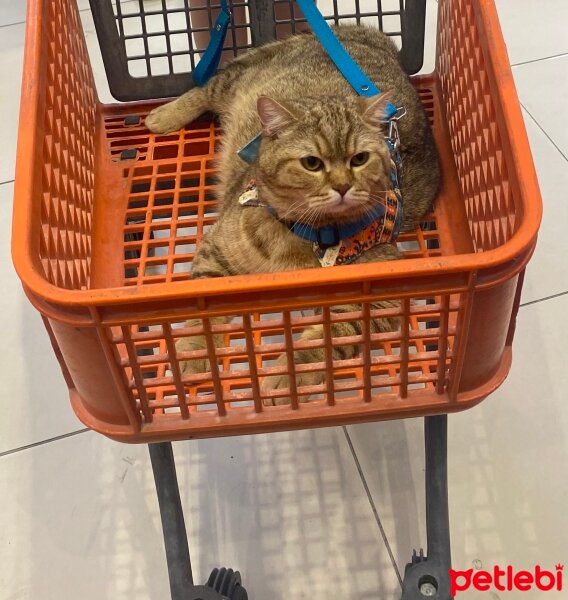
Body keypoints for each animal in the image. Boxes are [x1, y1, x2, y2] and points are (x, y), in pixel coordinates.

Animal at [146, 25, 440, 406]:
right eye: (311, 163)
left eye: (360, 159)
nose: (343, 186)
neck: (311, 235)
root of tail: (369, 36)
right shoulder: (217, 250)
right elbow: (204, 315)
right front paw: (195, 352)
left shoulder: (380, 299)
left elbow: (328, 341)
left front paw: (288, 379)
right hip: (237, 82)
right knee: (206, 86)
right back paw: (164, 115)